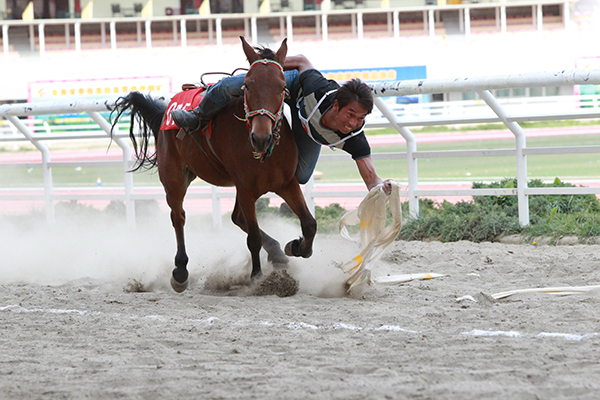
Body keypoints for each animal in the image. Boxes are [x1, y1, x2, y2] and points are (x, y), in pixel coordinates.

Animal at [112, 36, 318, 294]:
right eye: (247, 85)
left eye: (282, 87)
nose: (261, 138)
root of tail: (167, 109)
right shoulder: (246, 189)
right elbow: (253, 238)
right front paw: (257, 278)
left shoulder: (286, 183)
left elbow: (309, 224)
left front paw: (297, 246)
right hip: (174, 178)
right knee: (179, 217)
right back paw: (180, 271)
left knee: (237, 218)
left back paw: (278, 253)